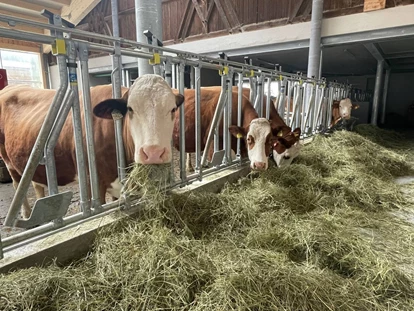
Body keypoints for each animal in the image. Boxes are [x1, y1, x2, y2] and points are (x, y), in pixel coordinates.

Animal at [0, 74, 184, 218]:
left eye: (173, 109)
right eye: (130, 109)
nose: (153, 153)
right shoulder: (92, 184)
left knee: (36, 183)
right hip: (8, 161)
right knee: (17, 184)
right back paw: (26, 214)